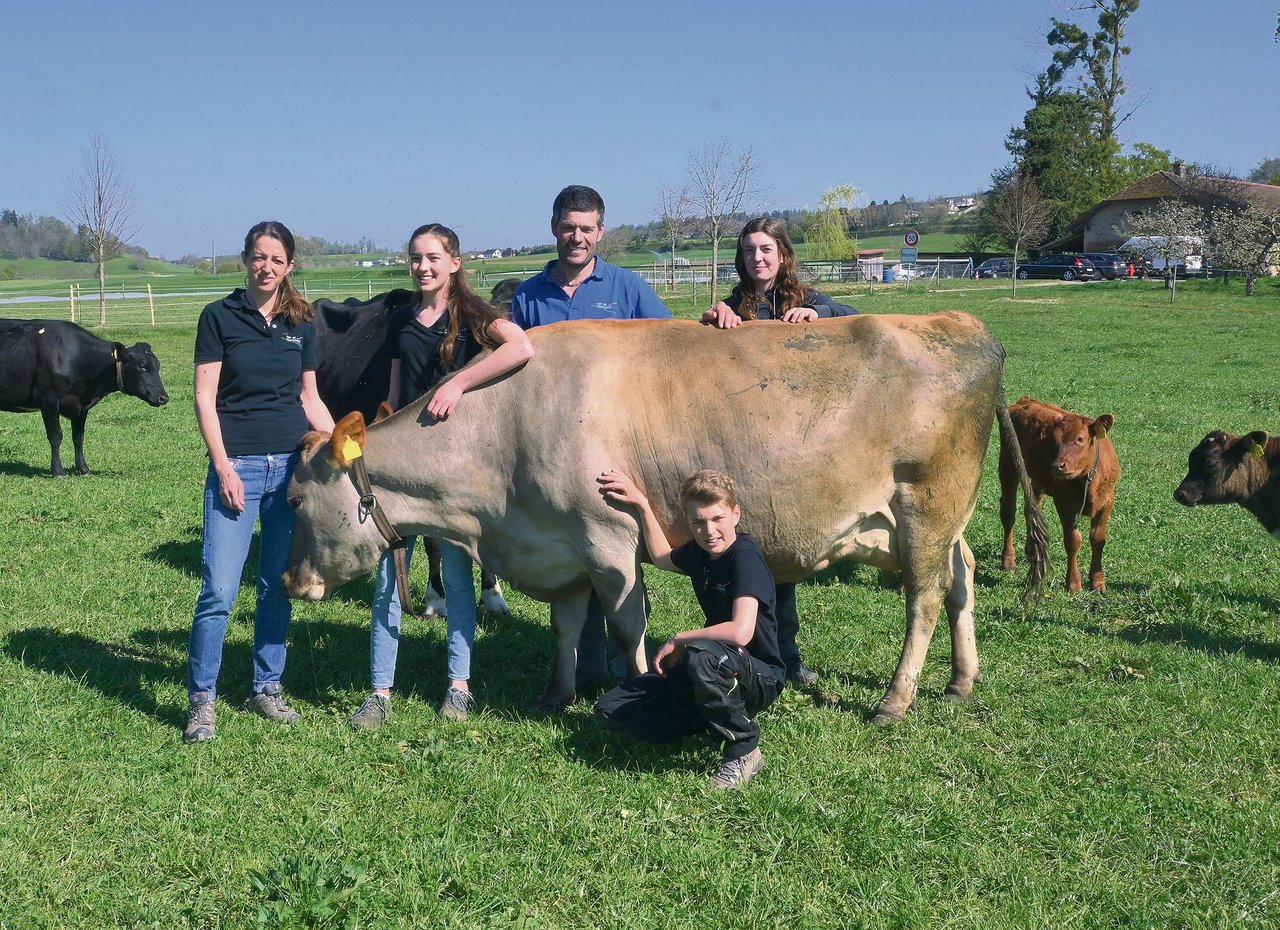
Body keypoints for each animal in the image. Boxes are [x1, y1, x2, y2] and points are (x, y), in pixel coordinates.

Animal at [0, 322, 170, 480]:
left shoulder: (81, 407)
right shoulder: (48, 399)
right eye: (142, 367)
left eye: (158, 366)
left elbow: (78, 437)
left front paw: (83, 469)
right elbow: (55, 436)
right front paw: (58, 472)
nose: (163, 397)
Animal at [285, 310, 1044, 721]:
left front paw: (637, 687)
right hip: (944, 517)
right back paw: (960, 681)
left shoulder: (608, 539)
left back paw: (896, 698)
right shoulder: (561, 548)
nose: (292, 581)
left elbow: (625, 626)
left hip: (925, 507)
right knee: (963, 578)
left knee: (925, 596)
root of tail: (959, 326)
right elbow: (567, 627)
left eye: (292, 500)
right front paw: (556, 693)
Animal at [998, 396, 1121, 593]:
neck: (1088, 479)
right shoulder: (1064, 503)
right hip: (1008, 465)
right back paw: (1008, 560)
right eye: (1054, 442)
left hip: (1036, 480)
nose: (1057, 466)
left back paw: (1032, 552)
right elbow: (1073, 540)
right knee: (1008, 513)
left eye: (1080, 439)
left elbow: (1098, 539)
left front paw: (1097, 581)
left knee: (1032, 509)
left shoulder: (1107, 500)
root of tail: (1024, 400)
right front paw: (1073, 583)